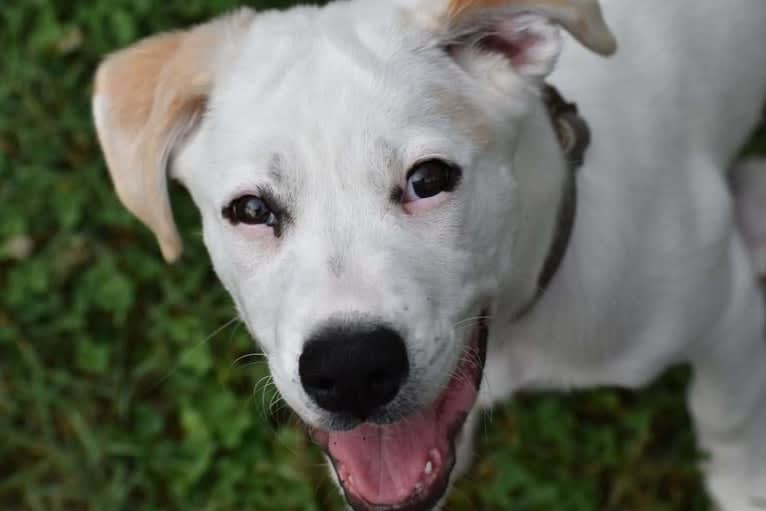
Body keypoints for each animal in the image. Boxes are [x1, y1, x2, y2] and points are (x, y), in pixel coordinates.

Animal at [91, 2, 766, 510]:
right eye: (252, 210)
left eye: (429, 179)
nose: (351, 370)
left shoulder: (726, 315)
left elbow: (727, 419)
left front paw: (743, 491)